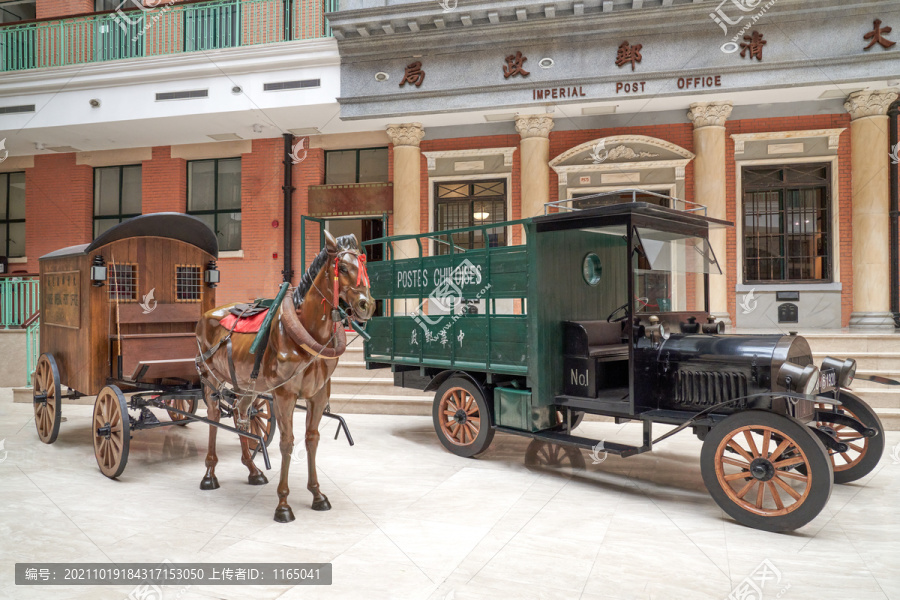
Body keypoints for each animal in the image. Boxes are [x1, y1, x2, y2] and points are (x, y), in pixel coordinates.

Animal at [195, 232, 374, 524]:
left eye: (364, 266)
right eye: (344, 268)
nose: (367, 305)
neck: (307, 333)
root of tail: (207, 314)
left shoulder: (318, 394)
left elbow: (311, 439)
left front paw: (317, 494)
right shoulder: (284, 395)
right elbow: (287, 442)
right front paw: (283, 504)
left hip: (247, 385)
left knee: (240, 415)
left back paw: (252, 469)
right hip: (210, 378)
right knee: (213, 416)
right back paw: (209, 474)